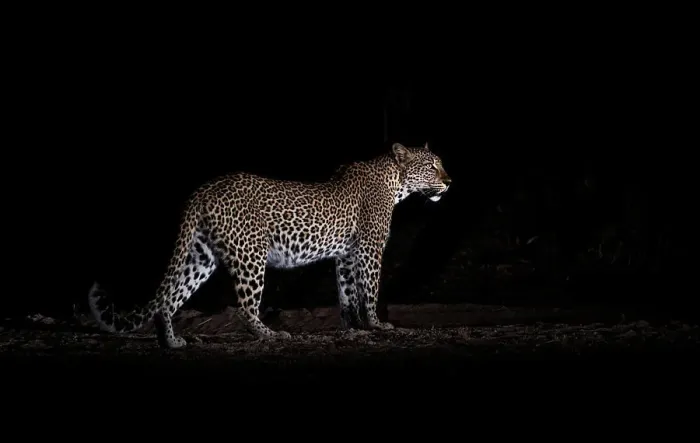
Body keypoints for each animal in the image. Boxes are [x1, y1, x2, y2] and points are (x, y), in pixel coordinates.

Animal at [88, 142, 452, 349]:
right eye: (431, 165)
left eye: (440, 164)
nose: (449, 181)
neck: (396, 183)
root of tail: (203, 190)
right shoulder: (369, 248)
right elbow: (370, 290)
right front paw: (377, 325)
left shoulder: (346, 255)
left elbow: (347, 294)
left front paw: (355, 330)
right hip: (250, 254)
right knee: (245, 307)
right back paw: (269, 335)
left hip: (200, 256)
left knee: (169, 296)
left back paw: (171, 341)